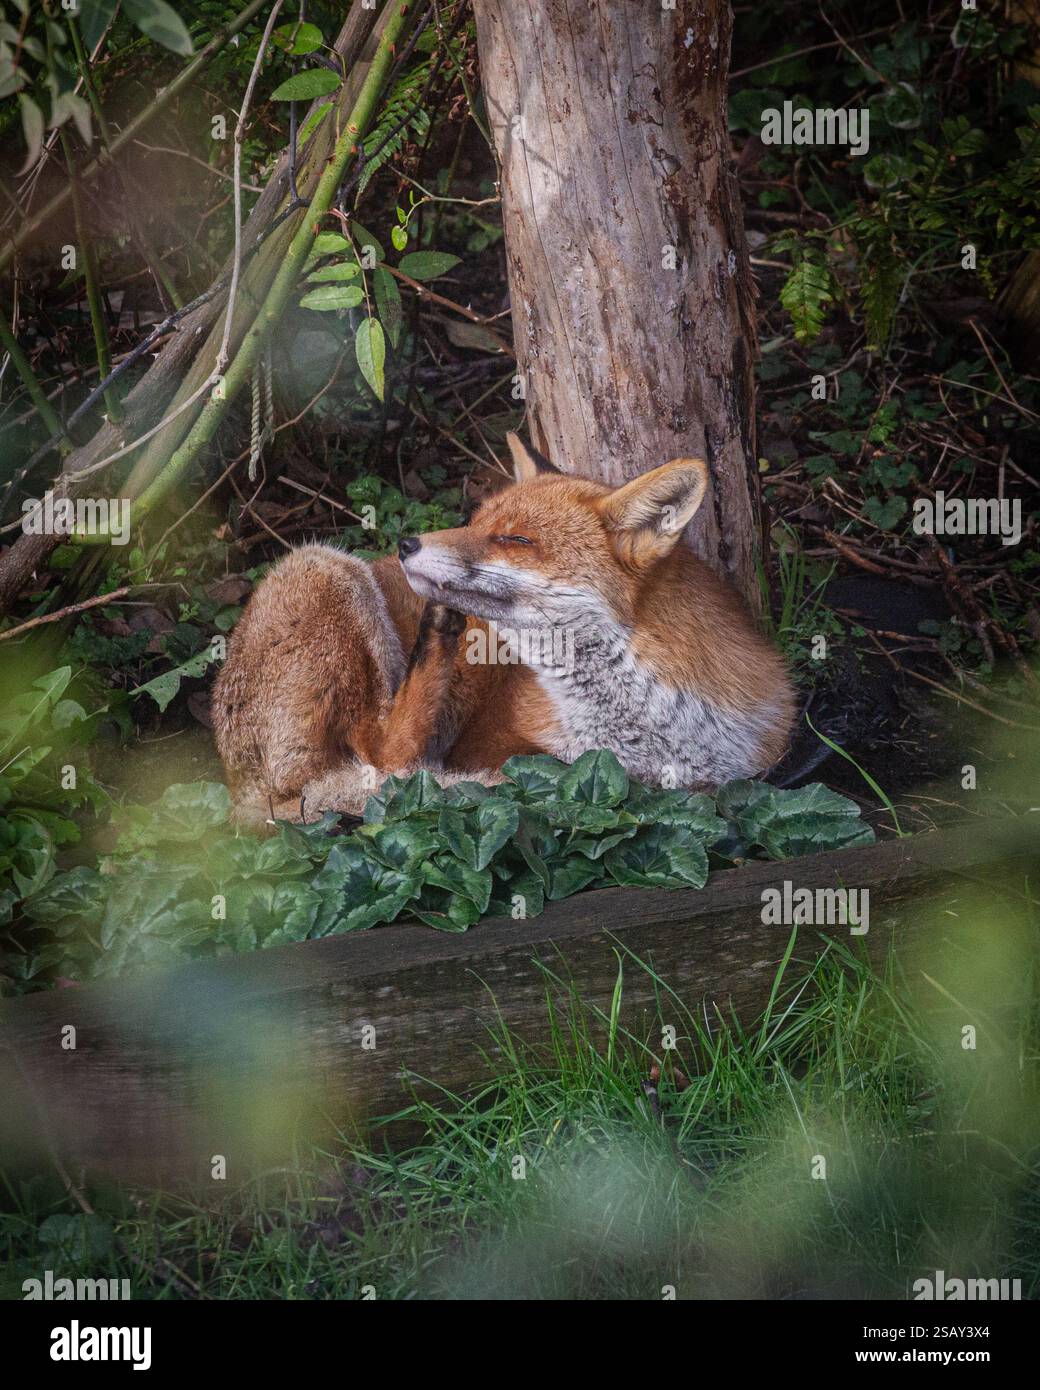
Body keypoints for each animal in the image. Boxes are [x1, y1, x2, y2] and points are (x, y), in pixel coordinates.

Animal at [212, 434, 796, 822]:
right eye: (474, 521)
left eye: (516, 539)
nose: (406, 545)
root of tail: (241, 793)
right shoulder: (497, 746)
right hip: (328, 570)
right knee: (386, 760)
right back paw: (436, 635)